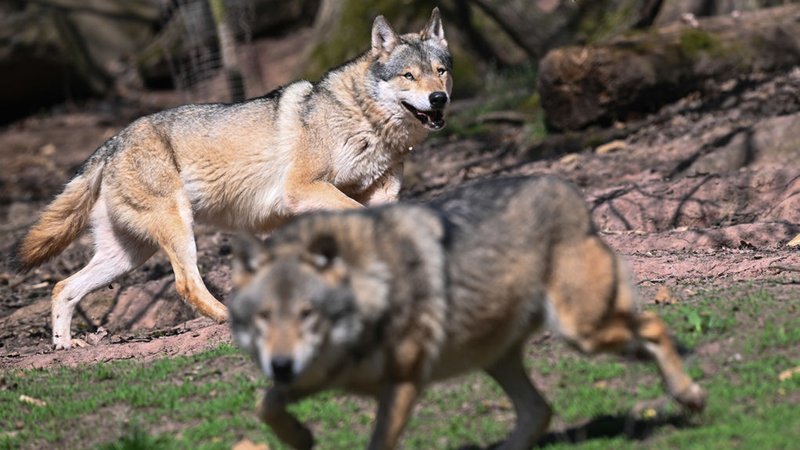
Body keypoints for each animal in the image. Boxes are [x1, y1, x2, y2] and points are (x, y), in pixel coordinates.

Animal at [14, 9, 452, 350]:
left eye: (440, 72)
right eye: (409, 76)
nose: (440, 99)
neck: (364, 121)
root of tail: (112, 142)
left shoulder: (379, 195)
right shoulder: (302, 191)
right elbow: (354, 218)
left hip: (125, 256)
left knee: (62, 287)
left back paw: (64, 346)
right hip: (178, 232)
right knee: (185, 284)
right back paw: (230, 319)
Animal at [229, 175, 707, 450]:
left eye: (308, 313)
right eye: (264, 317)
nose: (281, 365)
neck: (371, 289)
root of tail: (564, 188)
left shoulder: (402, 384)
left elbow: (378, 443)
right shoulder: (313, 376)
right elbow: (264, 405)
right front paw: (300, 437)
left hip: (581, 332)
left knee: (653, 326)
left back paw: (689, 395)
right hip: (498, 355)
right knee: (539, 410)